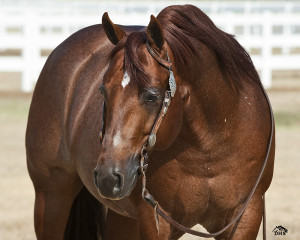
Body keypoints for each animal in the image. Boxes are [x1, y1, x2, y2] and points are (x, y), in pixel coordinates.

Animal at [25, 4, 274, 240]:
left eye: (152, 96)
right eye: (102, 90)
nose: (108, 177)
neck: (210, 150)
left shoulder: (245, 216)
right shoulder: (155, 220)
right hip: (51, 196)